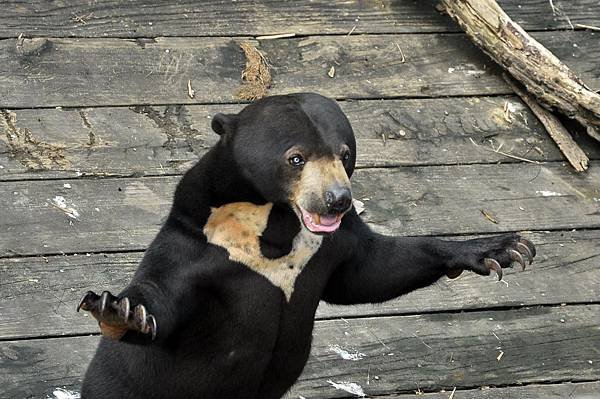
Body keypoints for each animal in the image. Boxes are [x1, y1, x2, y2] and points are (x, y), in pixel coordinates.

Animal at [76, 92, 536, 398]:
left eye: (345, 154)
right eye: (295, 158)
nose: (337, 200)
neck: (276, 224)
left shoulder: (334, 244)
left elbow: (372, 270)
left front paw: (504, 250)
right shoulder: (198, 244)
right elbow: (163, 296)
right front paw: (120, 310)